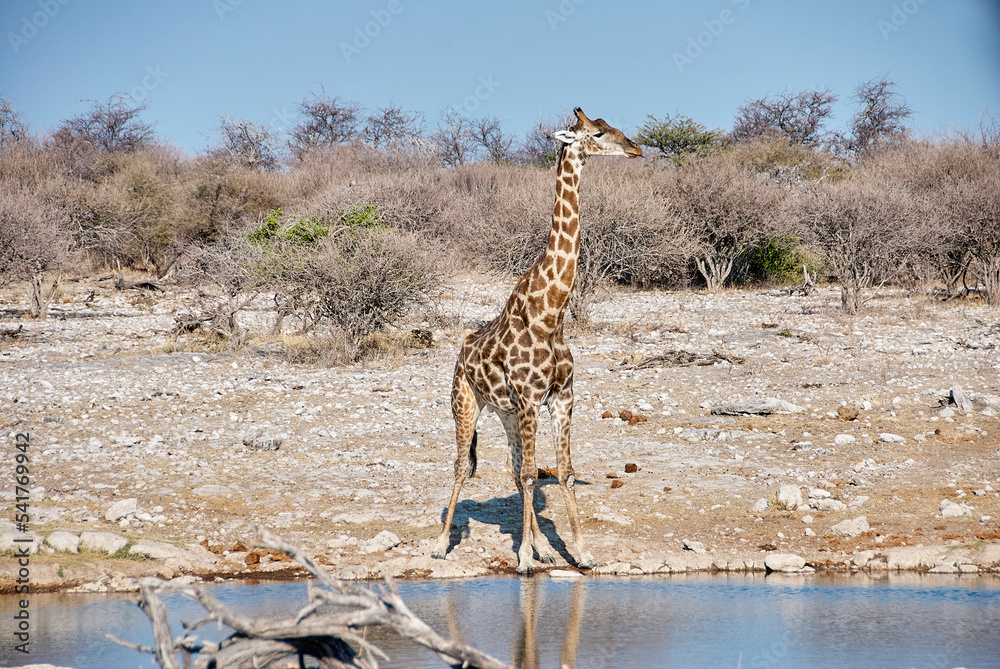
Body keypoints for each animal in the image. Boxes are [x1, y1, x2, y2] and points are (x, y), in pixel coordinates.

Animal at [432, 107, 642, 573]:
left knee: (513, 470)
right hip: (466, 403)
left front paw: (579, 553)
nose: (636, 148)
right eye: (597, 132)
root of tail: (460, 351)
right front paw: (524, 558)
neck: (551, 313)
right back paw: (440, 543)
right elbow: (532, 475)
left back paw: (543, 547)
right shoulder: (531, 398)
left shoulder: (561, 396)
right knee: (461, 466)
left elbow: (562, 472)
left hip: (506, 413)